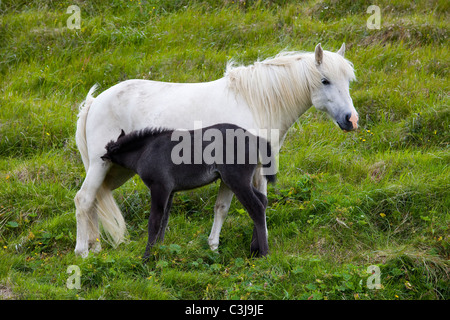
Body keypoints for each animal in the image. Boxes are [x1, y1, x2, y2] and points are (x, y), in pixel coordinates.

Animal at [102, 122, 276, 260]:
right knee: (263, 200)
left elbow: (154, 222)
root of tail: (255, 138)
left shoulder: (159, 187)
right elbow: (164, 220)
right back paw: (254, 249)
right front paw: (159, 249)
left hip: (237, 181)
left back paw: (263, 254)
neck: (145, 150)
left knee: (256, 208)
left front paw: (147, 257)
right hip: (236, 181)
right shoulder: (170, 191)